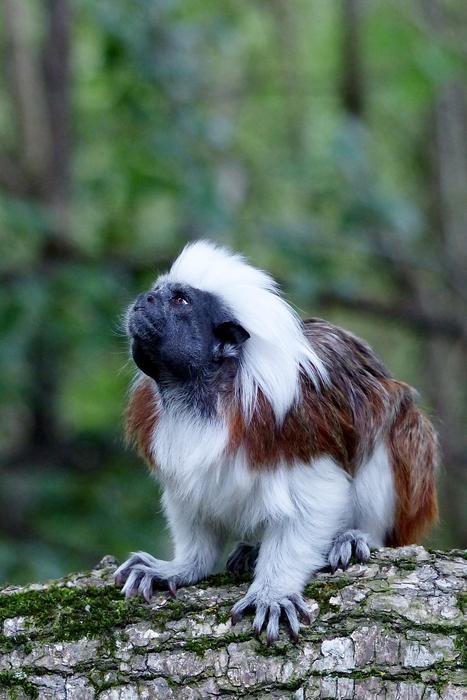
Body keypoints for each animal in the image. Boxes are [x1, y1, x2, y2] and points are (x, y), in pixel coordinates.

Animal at [114, 241, 438, 643]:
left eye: (179, 301)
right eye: (156, 293)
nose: (144, 299)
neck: (203, 398)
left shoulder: (295, 430)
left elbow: (318, 499)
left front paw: (274, 592)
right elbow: (193, 508)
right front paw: (179, 567)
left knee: (387, 423)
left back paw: (352, 537)